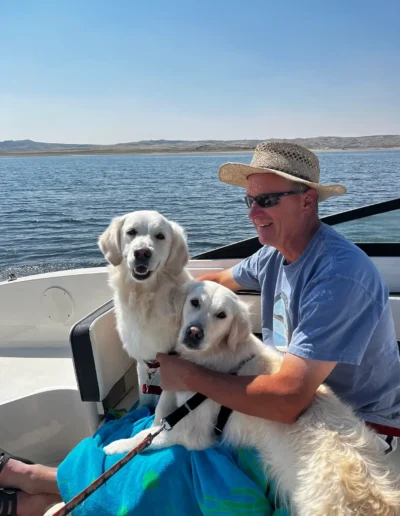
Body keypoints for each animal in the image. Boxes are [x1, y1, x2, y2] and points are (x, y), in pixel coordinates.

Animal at [97, 211, 191, 408]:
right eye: (131, 232)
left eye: (160, 236)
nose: (142, 252)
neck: (145, 296)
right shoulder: (143, 358)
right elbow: (144, 398)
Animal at [105, 282, 400, 516]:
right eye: (194, 302)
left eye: (221, 315)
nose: (193, 332)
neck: (213, 358)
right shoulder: (174, 396)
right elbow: (159, 416)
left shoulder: (193, 434)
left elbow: (148, 436)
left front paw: (117, 445)